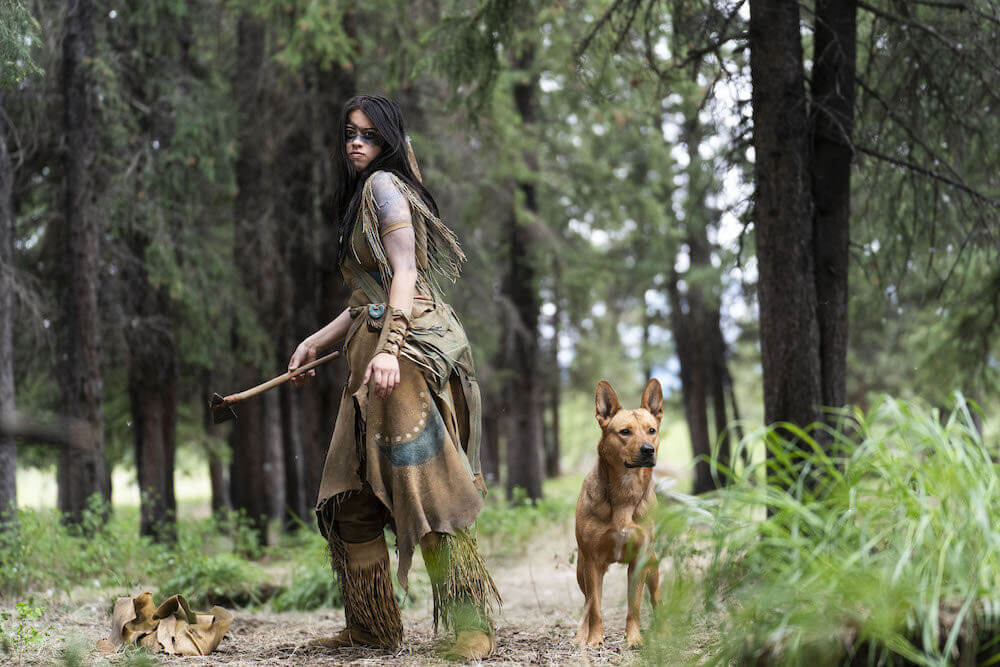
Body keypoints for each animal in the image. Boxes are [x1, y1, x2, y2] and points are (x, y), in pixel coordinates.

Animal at [576, 380, 660, 648]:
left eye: (651, 430)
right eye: (625, 432)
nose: (648, 450)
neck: (625, 491)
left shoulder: (640, 559)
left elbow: (634, 605)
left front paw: (634, 638)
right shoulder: (592, 560)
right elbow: (595, 608)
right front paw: (595, 639)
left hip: (653, 566)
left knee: (656, 598)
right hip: (581, 570)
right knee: (587, 601)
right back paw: (582, 634)